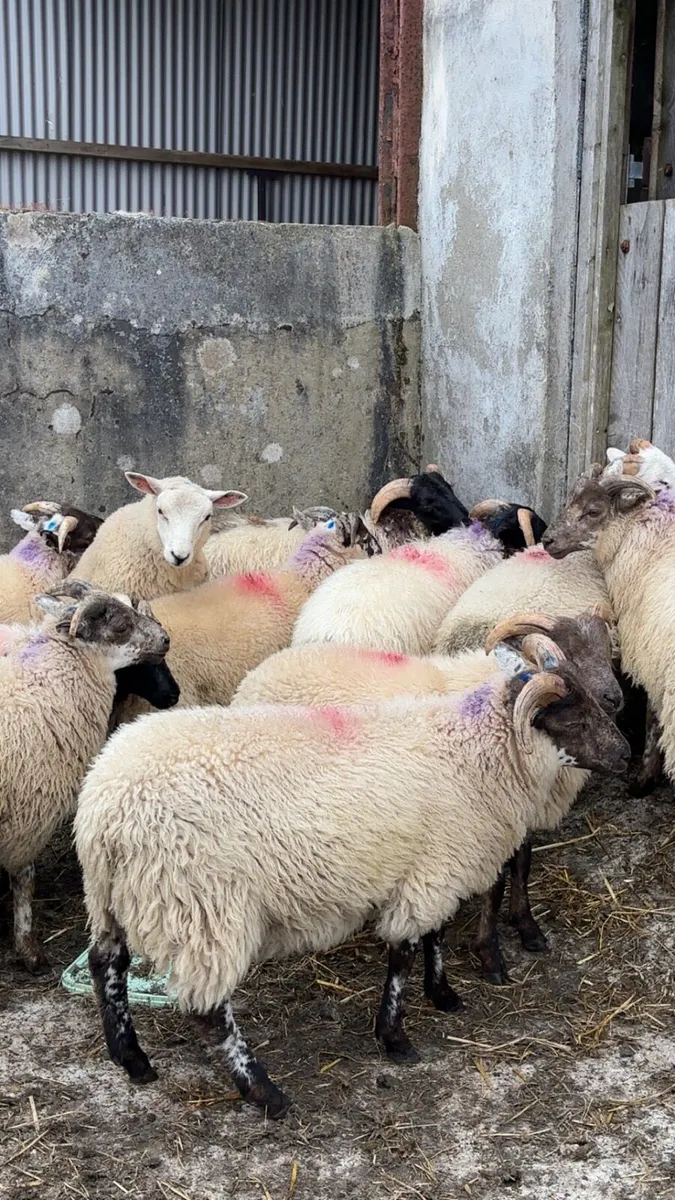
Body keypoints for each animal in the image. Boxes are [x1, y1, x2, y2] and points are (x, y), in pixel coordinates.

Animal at [232, 606, 621, 986]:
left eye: (606, 648)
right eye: (569, 651)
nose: (614, 699)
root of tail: (261, 670)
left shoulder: (513, 813)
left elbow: (522, 865)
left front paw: (528, 928)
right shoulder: (480, 818)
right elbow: (495, 885)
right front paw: (491, 955)